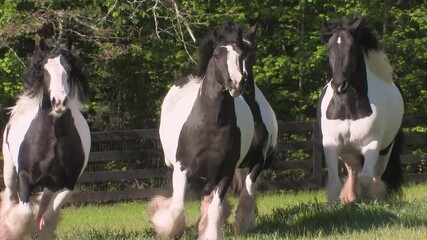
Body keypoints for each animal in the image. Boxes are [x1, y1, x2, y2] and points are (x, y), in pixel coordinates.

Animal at [0, 37, 91, 238]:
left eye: (69, 69)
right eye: (44, 69)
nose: (59, 102)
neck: (53, 138)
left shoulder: (68, 183)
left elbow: (48, 215)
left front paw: (40, 231)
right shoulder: (24, 178)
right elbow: (25, 213)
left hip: (51, 184)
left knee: (44, 204)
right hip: (9, 171)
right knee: (10, 201)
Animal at [149, 22, 254, 240]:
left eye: (241, 55)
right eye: (217, 55)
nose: (236, 82)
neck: (211, 127)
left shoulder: (225, 174)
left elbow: (215, 210)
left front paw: (209, 233)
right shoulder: (182, 168)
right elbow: (177, 207)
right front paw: (163, 226)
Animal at [320, 17, 406, 204]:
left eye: (352, 47)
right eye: (330, 47)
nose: (339, 86)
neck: (348, 108)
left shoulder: (372, 143)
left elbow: (366, 178)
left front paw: (369, 197)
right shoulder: (332, 144)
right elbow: (333, 183)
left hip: (385, 150)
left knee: (375, 176)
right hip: (348, 152)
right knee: (354, 171)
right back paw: (351, 197)